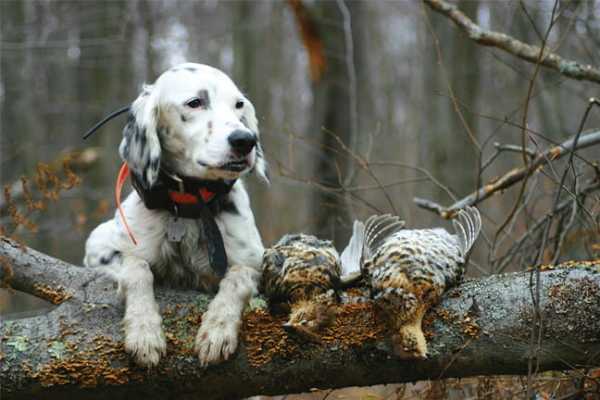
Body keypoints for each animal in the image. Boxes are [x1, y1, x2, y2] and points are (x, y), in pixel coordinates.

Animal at [83, 63, 268, 367]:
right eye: (195, 102)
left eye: (238, 105)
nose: (245, 140)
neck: (188, 204)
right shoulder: (100, 249)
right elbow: (137, 269)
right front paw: (144, 332)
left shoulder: (255, 262)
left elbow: (238, 276)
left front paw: (217, 329)